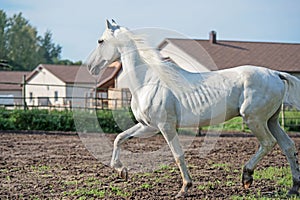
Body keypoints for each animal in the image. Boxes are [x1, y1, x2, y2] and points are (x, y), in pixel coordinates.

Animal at [86, 19, 300, 198]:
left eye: (100, 41)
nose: (90, 67)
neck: (147, 82)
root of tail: (275, 74)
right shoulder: (148, 126)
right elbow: (119, 138)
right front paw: (121, 171)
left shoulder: (165, 126)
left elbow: (178, 155)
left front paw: (184, 188)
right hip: (271, 120)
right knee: (288, 145)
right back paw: (293, 188)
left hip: (254, 119)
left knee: (268, 143)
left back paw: (247, 176)